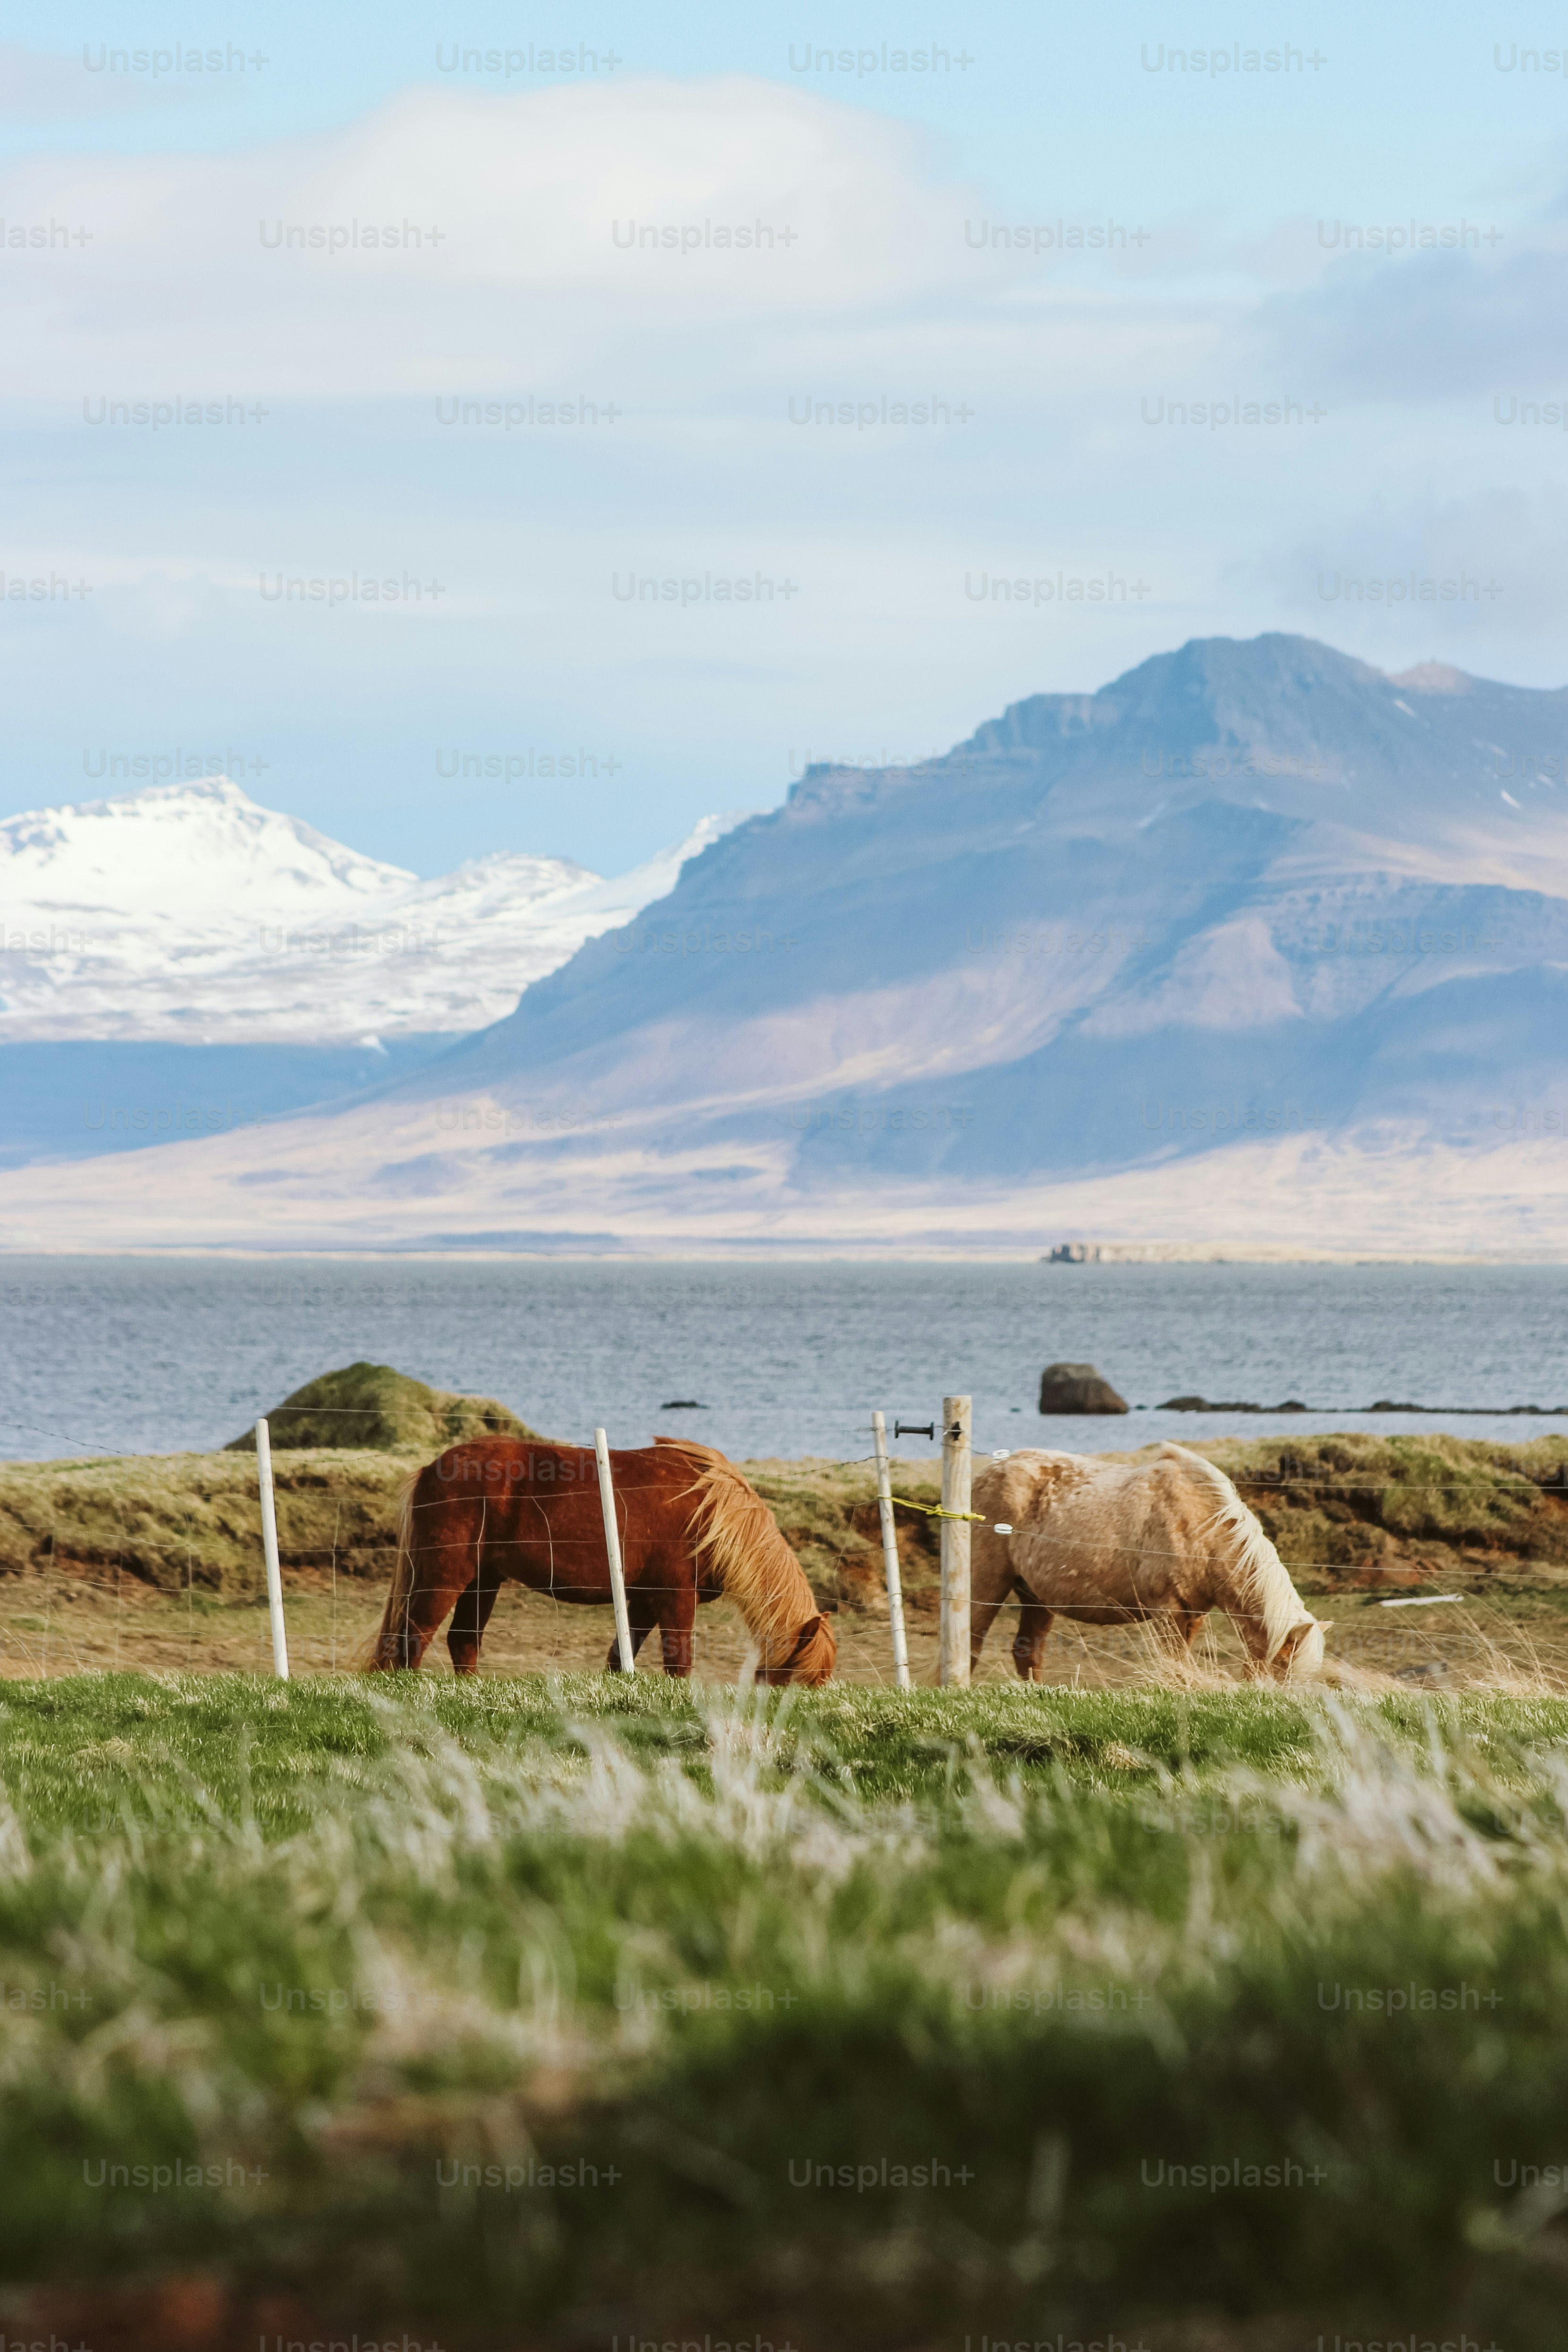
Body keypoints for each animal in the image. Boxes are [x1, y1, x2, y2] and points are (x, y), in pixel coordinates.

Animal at [365, 1434, 836, 1683]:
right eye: (798, 1680)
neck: (713, 1509)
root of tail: (432, 1468)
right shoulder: (674, 1597)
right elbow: (679, 1660)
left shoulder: (643, 1601)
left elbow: (617, 1658)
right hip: (447, 1574)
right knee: (413, 1636)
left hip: (484, 1580)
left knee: (462, 1640)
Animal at [969, 1441, 1329, 1682]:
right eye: (1283, 1669)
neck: (1201, 1527)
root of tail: (984, 1476)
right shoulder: (1166, 1612)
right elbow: (1176, 1664)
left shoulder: (1194, 1615)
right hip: (986, 1587)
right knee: (970, 1642)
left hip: (1036, 1596)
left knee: (1027, 1654)